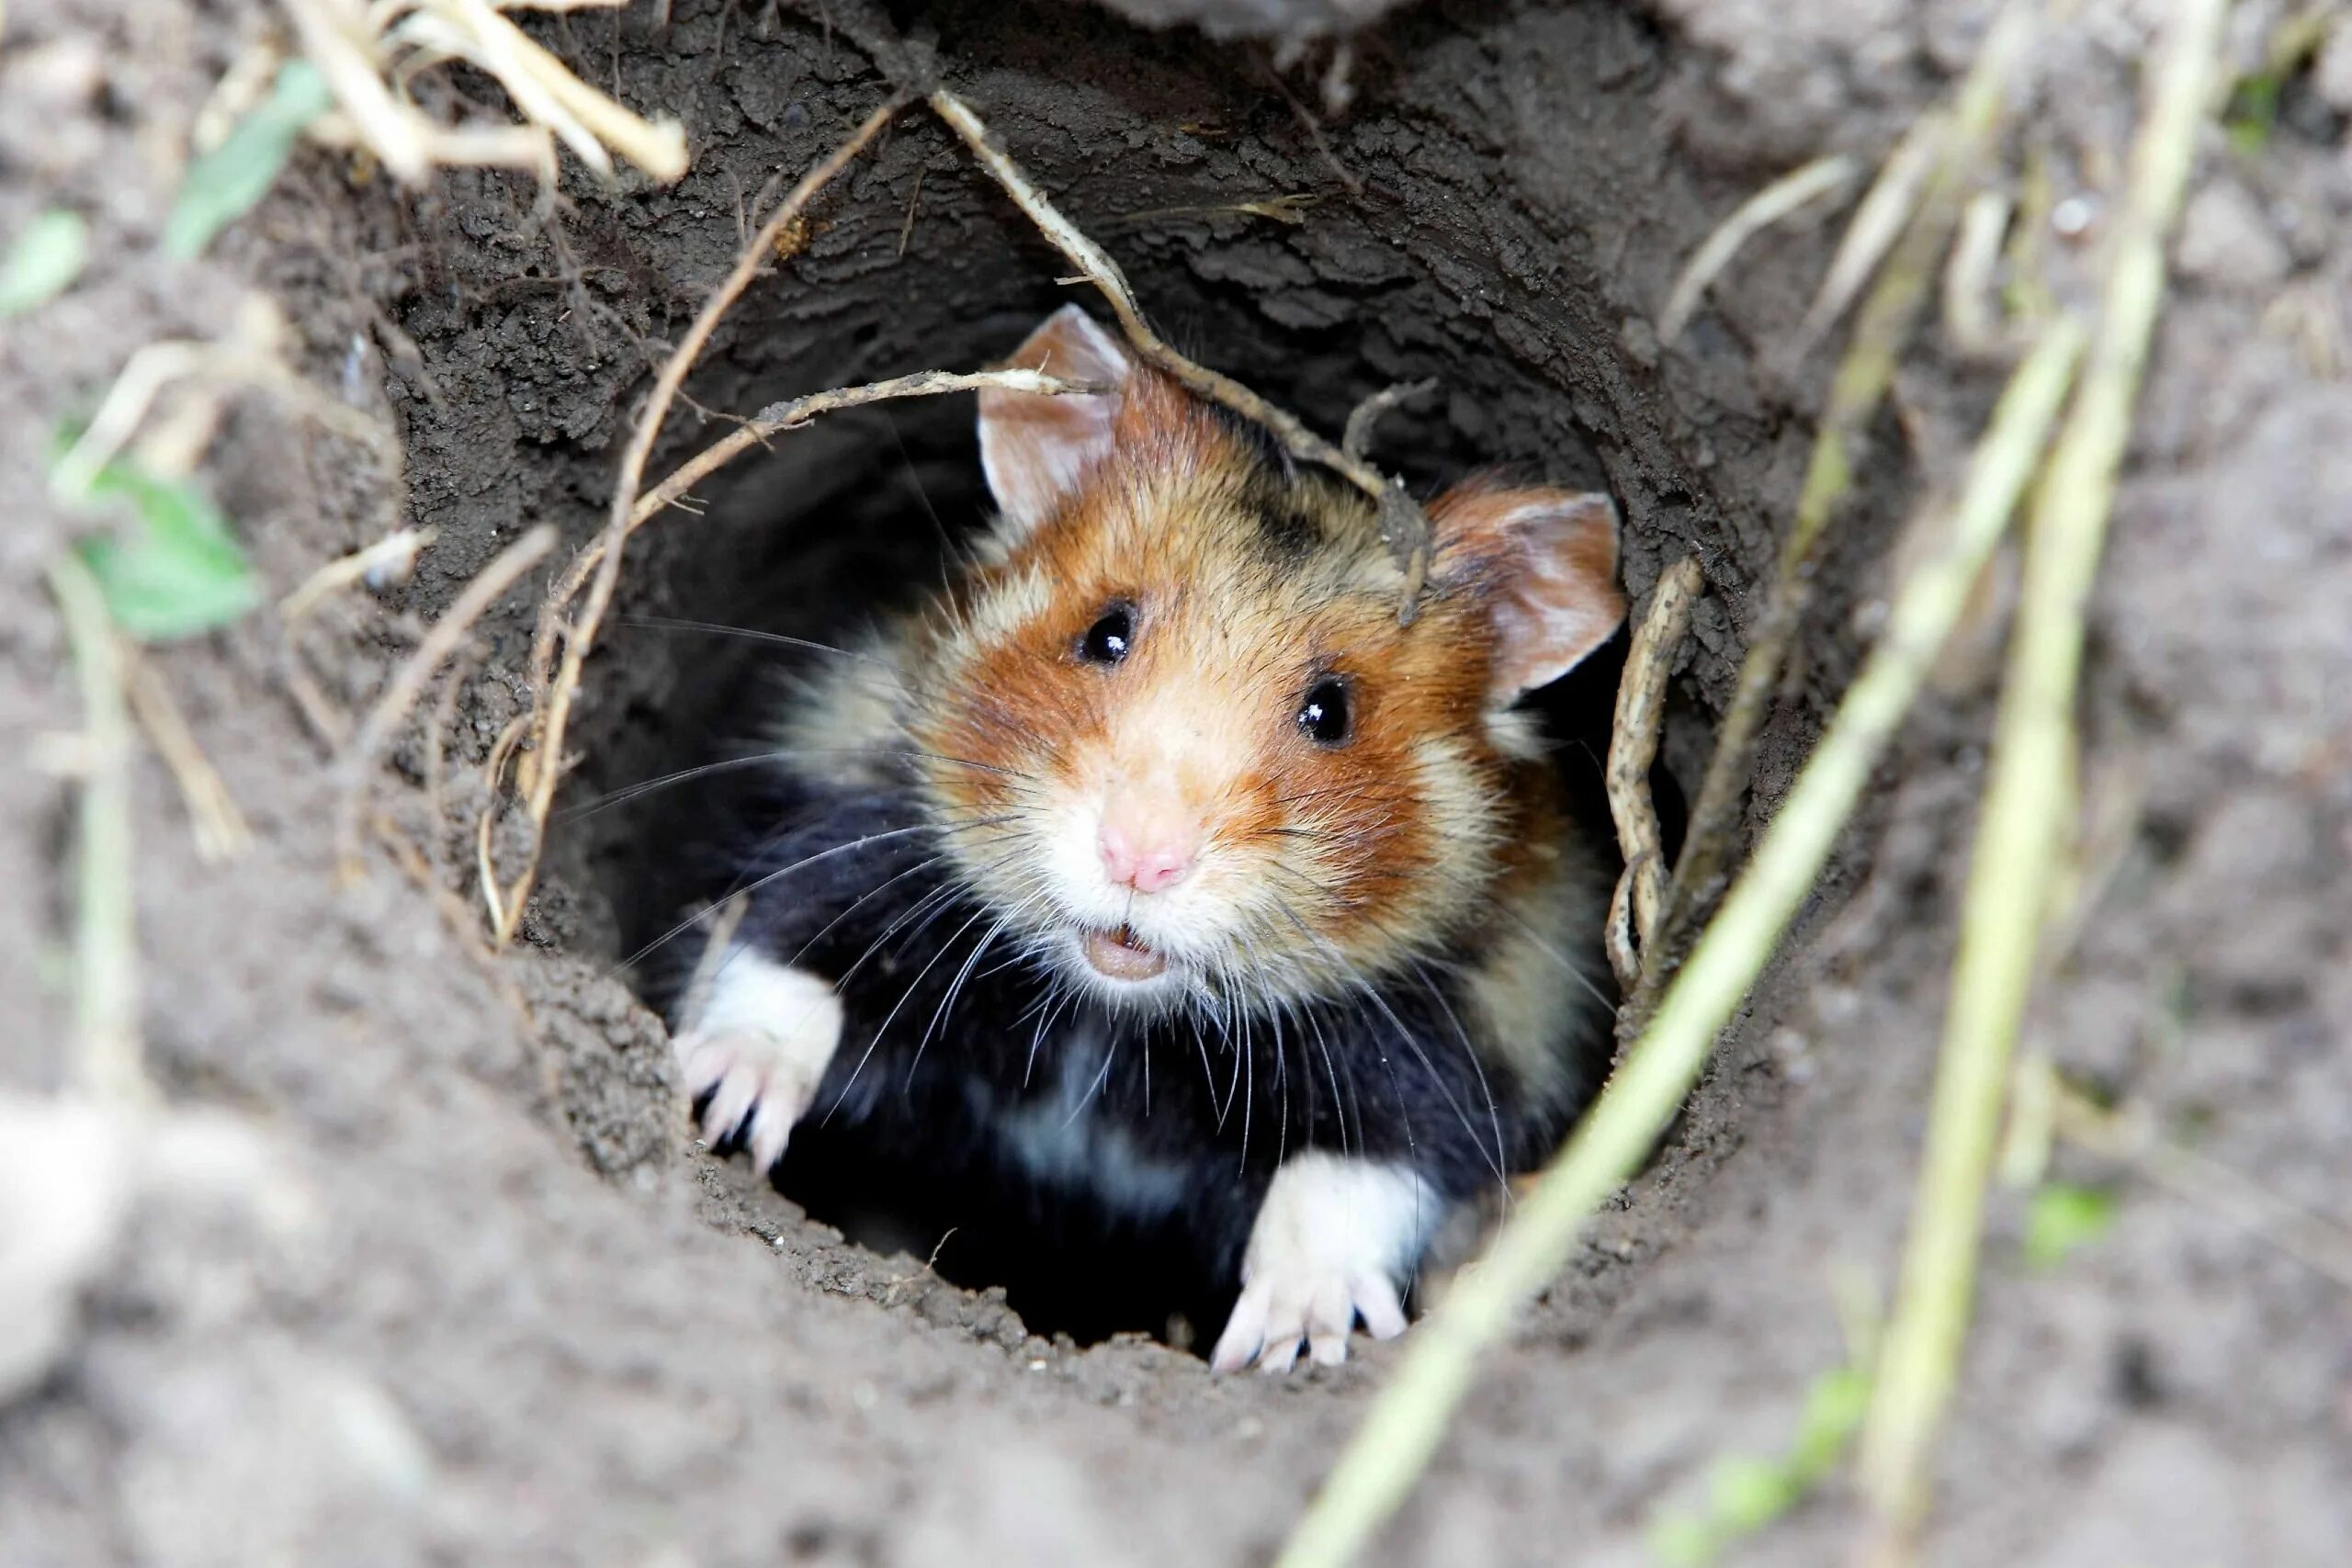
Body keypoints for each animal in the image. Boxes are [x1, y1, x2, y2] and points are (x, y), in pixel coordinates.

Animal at [673, 310, 1627, 1372]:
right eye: (1106, 632)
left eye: (1331, 711)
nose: (1139, 859)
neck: (1112, 1020)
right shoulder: (865, 809)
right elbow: (791, 933)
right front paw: (724, 1103)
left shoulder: (1464, 1022)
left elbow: (1375, 1160)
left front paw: (1289, 1339)